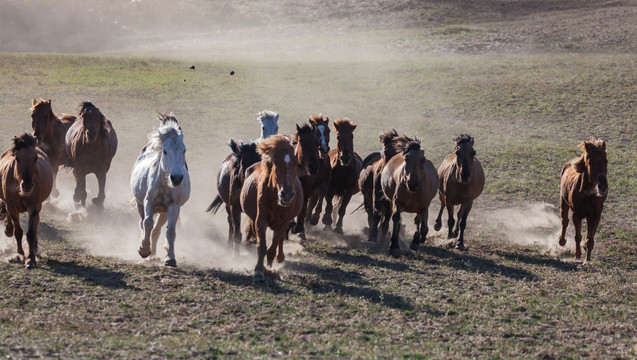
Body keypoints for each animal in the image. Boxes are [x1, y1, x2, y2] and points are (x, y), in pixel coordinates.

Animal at [0, 134, 53, 268]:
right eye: (17, 158)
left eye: (35, 158)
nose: (27, 186)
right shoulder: (12, 206)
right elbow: (18, 231)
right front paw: (20, 253)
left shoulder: (34, 207)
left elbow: (31, 233)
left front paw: (30, 259)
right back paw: (8, 230)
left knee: (36, 224)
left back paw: (35, 247)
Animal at [129, 114, 189, 266]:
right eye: (165, 151)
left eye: (184, 150)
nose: (176, 178)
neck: (164, 185)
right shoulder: (148, 202)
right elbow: (147, 223)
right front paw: (143, 250)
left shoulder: (174, 206)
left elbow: (170, 231)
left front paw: (170, 258)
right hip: (140, 205)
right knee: (143, 224)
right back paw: (146, 251)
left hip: (164, 212)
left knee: (157, 230)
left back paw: (153, 255)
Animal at [238, 135, 304, 282]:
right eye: (276, 163)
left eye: (295, 164)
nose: (286, 195)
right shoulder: (261, 220)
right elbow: (262, 246)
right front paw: (259, 271)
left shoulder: (283, 222)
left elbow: (274, 245)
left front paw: (269, 264)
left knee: (279, 240)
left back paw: (279, 258)